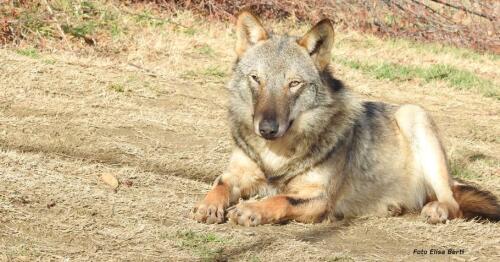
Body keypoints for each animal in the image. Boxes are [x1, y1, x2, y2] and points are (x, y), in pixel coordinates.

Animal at [192, 11, 500, 226]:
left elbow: (279, 198)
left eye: (294, 84)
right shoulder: (236, 174)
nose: (267, 129)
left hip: (414, 115)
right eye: (257, 79)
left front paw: (250, 209)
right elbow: (219, 185)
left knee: (453, 203)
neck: (276, 155)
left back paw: (436, 209)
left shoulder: (319, 198)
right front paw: (208, 206)